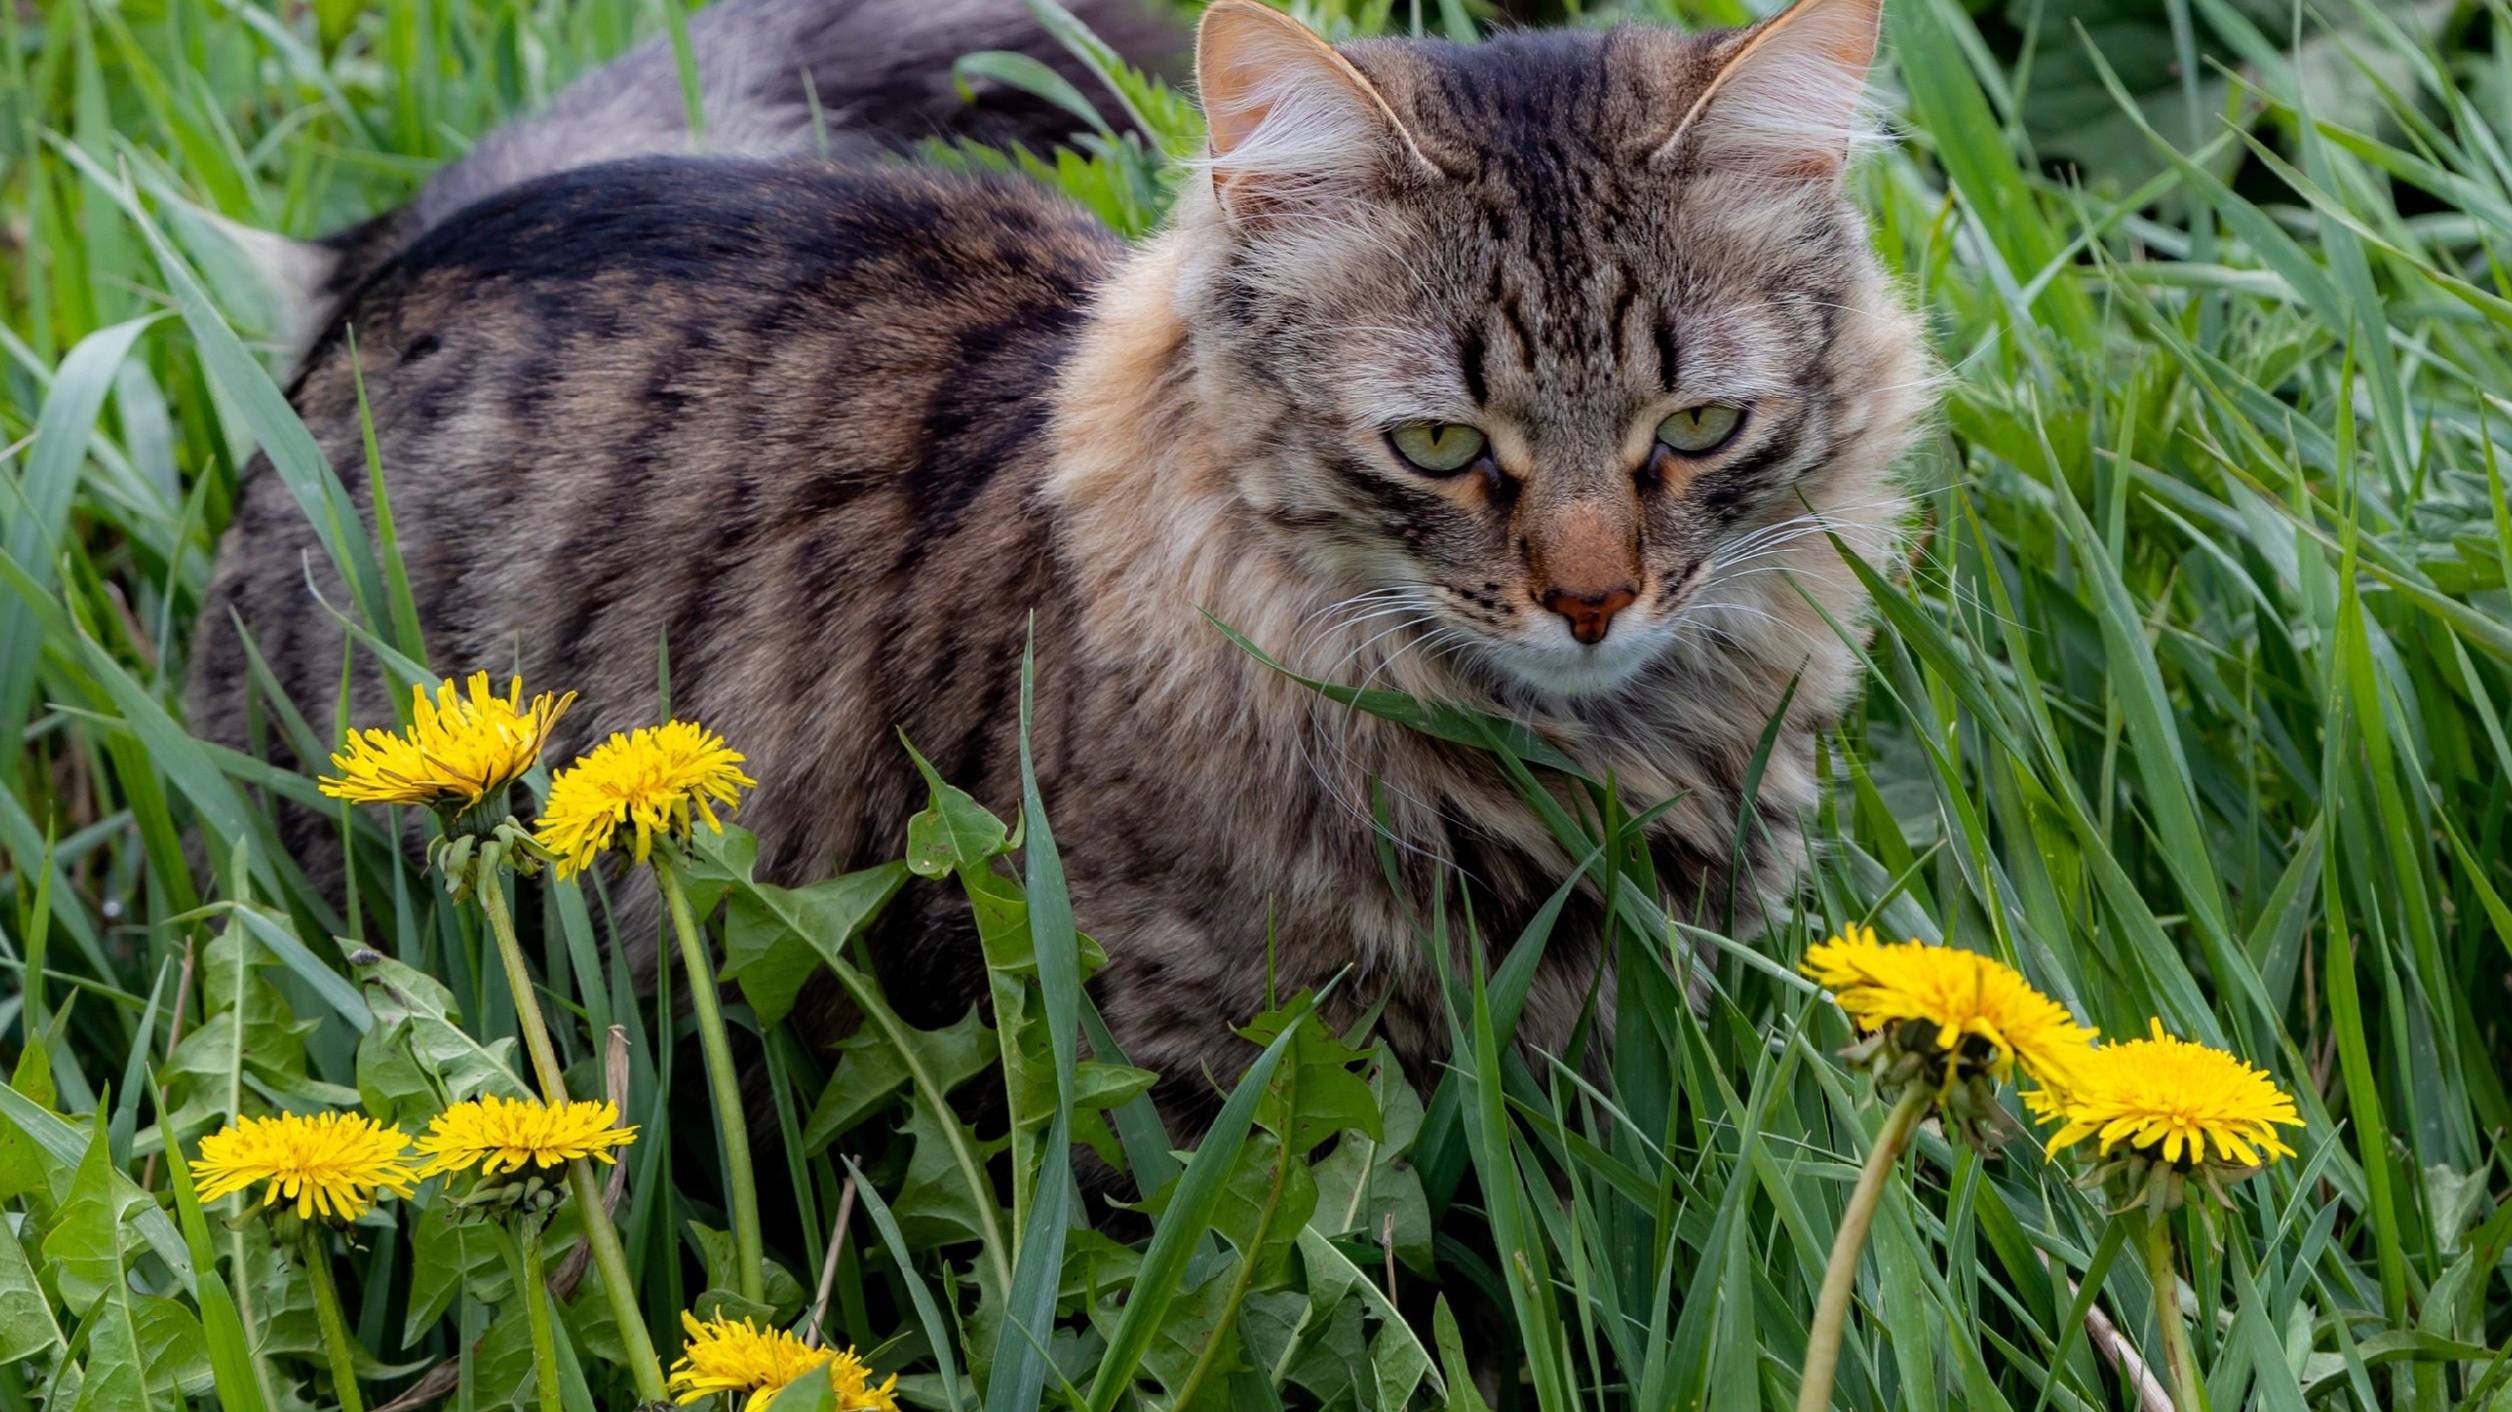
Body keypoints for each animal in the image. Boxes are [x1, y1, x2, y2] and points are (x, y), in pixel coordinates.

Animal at [190, 0, 1919, 1130]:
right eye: (1438, 444)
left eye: (1695, 428)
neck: (1573, 760)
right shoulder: (1162, 1068)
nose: (1590, 601)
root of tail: (430, 241)